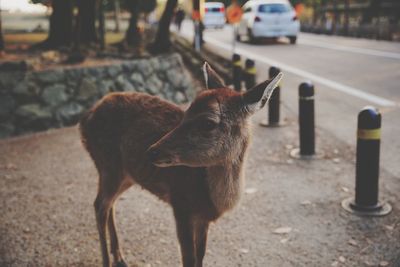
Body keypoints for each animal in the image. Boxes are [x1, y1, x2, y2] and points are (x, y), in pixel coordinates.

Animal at [79, 63, 282, 267]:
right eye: (187, 112)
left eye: (208, 123)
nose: (151, 151)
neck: (211, 201)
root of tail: (85, 120)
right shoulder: (180, 204)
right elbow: (189, 258)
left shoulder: (203, 218)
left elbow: (200, 256)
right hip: (107, 165)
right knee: (100, 205)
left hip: (125, 175)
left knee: (109, 204)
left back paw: (120, 258)